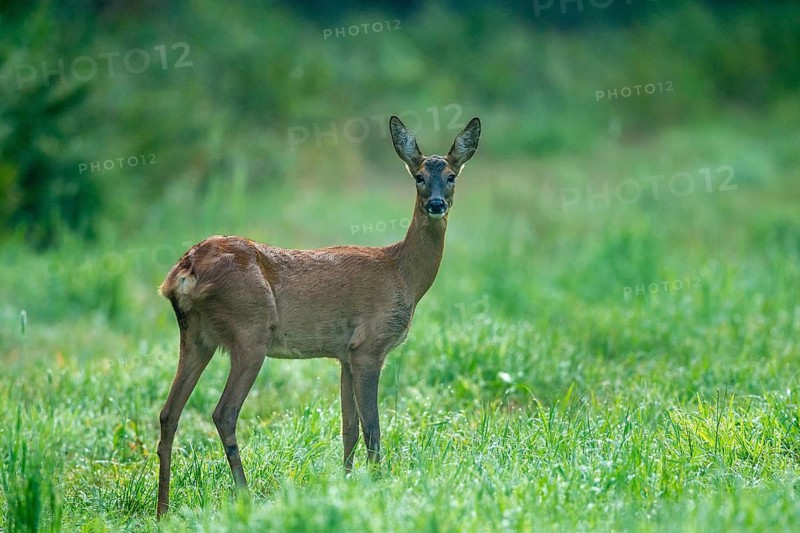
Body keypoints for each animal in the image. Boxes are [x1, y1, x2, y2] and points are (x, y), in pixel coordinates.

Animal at [155, 115, 481, 518]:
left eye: (451, 175)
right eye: (419, 176)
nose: (436, 203)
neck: (403, 272)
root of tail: (185, 270)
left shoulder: (345, 354)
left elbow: (349, 428)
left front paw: (347, 484)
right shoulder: (370, 346)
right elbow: (372, 427)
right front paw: (379, 484)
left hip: (196, 337)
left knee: (169, 412)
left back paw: (163, 508)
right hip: (251, 333)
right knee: (223, 413)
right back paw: (244, 495)